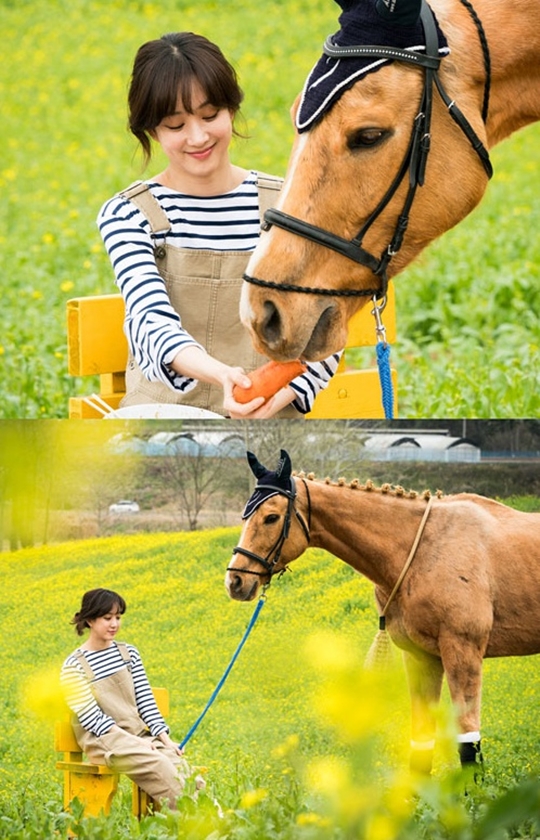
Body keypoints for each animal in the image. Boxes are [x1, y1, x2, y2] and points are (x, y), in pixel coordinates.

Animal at [224, 452, 540, 776]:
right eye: (245, 516)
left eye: (271, 517)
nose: (235, 580)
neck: (427, 550)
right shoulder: (420, 658)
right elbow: (421, 742)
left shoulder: (463, 653)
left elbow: (468, 744)